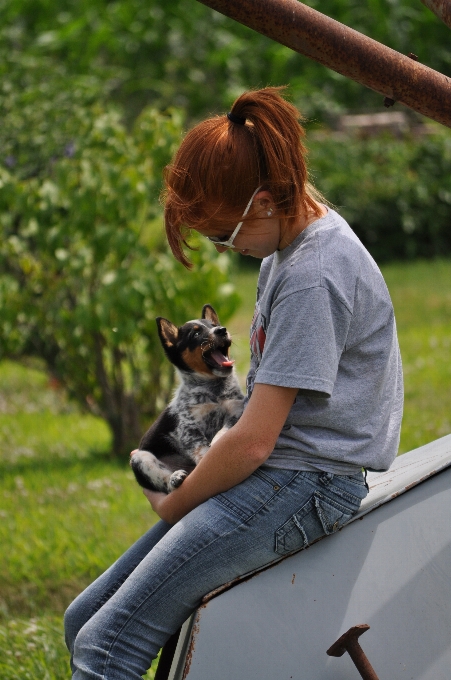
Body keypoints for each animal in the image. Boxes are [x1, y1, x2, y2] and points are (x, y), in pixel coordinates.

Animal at [129, 306, 245, 492]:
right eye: (195, 334)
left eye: (214, 325)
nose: (222, 330)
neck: (214, 391)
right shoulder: (188, 428)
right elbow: (202, 448)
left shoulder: (236, 411)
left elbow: (223, 431)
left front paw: (217, 441)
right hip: (140, 458)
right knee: (165, 483)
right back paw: (175, 478)